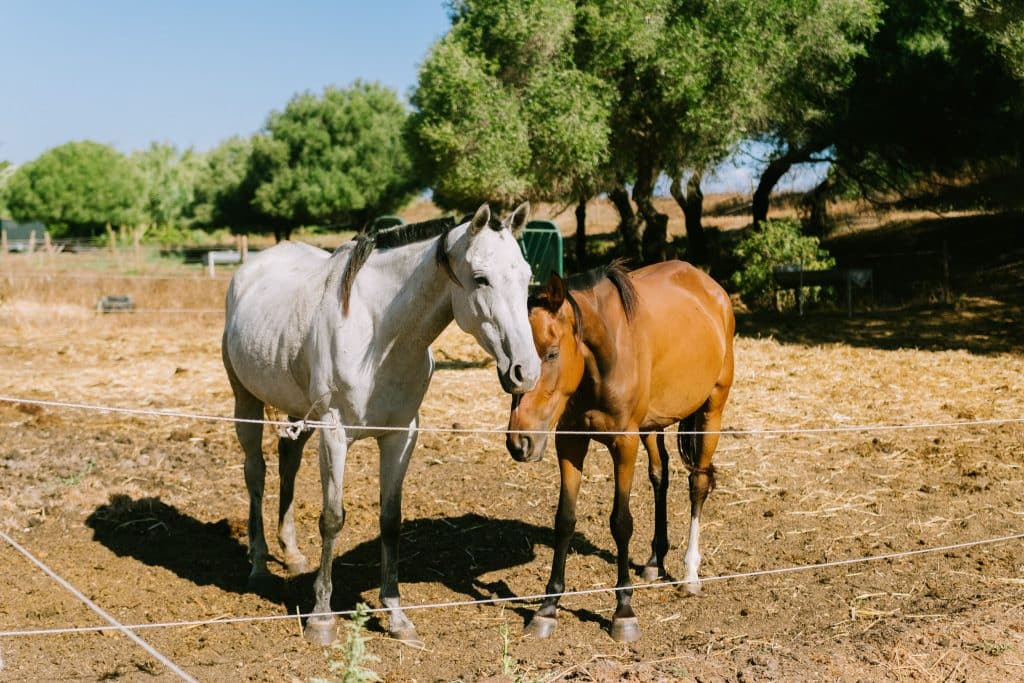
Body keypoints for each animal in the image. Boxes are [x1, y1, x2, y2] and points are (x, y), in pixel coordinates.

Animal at [221, 204, 540, 647]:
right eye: (481, 278)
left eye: (526, 276)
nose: (526, 371)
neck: (380, 336)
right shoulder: (334, 434)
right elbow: (332, 518)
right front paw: (321, 618)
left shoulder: (400, 437)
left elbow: (391, 521)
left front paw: (396, 616)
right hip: (246, 402)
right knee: (256, 472)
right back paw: (258, 566)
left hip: (297, 410)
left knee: (288, 460)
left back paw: (292, 553)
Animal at [505, 259, 733, 643]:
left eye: (551, 352)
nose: (519, 442)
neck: (603, 358)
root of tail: (711, 289)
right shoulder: (570, 441)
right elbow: (564, 520)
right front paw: (548, 607)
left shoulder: (623, 443)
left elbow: (621, 522)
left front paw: (623, 610)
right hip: (653, 423)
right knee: (660, 476)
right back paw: (656, 561)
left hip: (711, 409)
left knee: (697, 484)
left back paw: (690, 575)